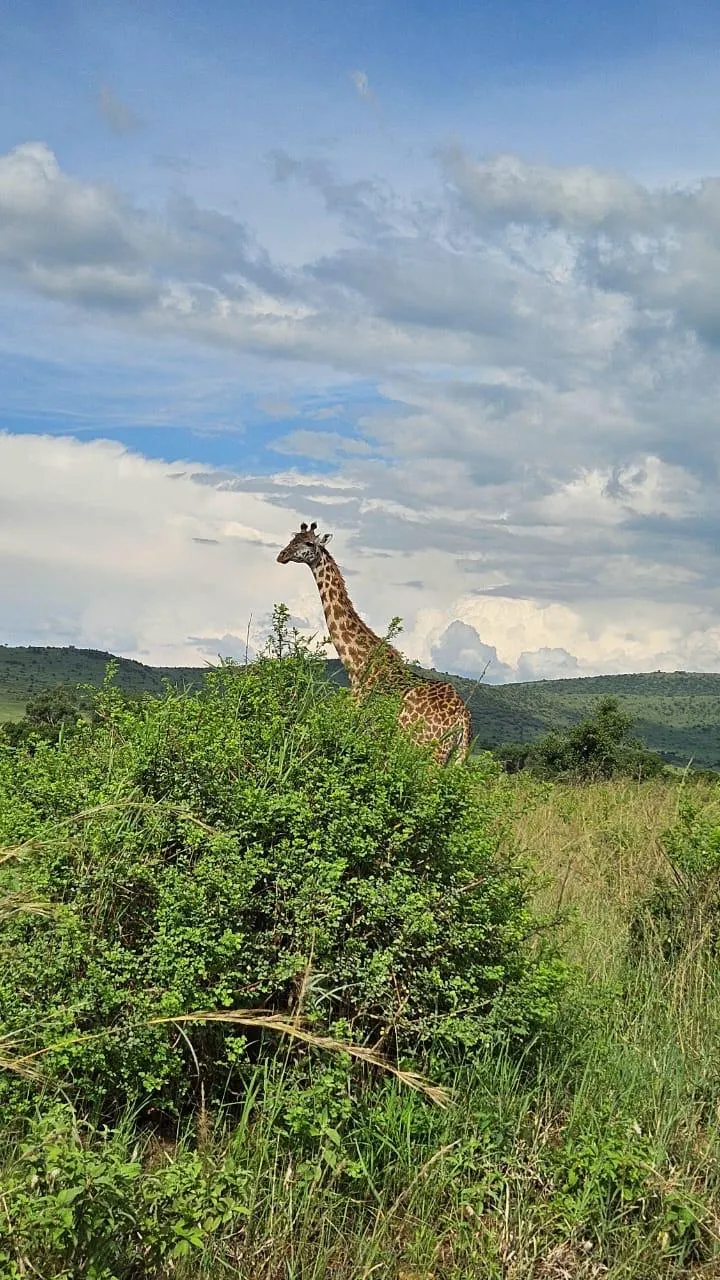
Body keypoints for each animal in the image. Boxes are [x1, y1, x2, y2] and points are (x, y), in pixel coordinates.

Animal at [274, 524, 471, 762]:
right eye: (293, 538)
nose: (282, 555)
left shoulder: (360, 719)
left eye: (309, 543)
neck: (357, 663)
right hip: (455, 755)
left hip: (426, 748)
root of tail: (463, 719)